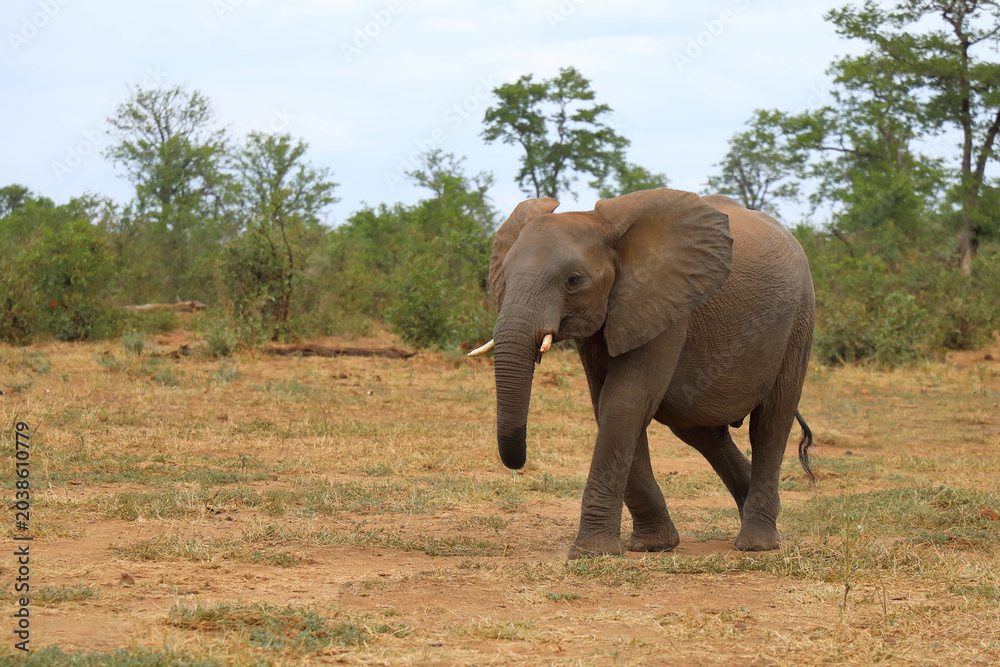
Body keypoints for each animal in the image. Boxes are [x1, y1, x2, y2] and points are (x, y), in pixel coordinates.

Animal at [468, 188, 815, 558]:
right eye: (504, 278)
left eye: (573, 281)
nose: (518, 462)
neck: (598, 223)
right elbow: (609, 406)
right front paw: (652, 545)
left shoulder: (665, 304)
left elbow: (624, 403)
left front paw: (591, 553)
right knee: (701, 432)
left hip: (799, 322)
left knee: (769, 425)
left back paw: (756, 544)